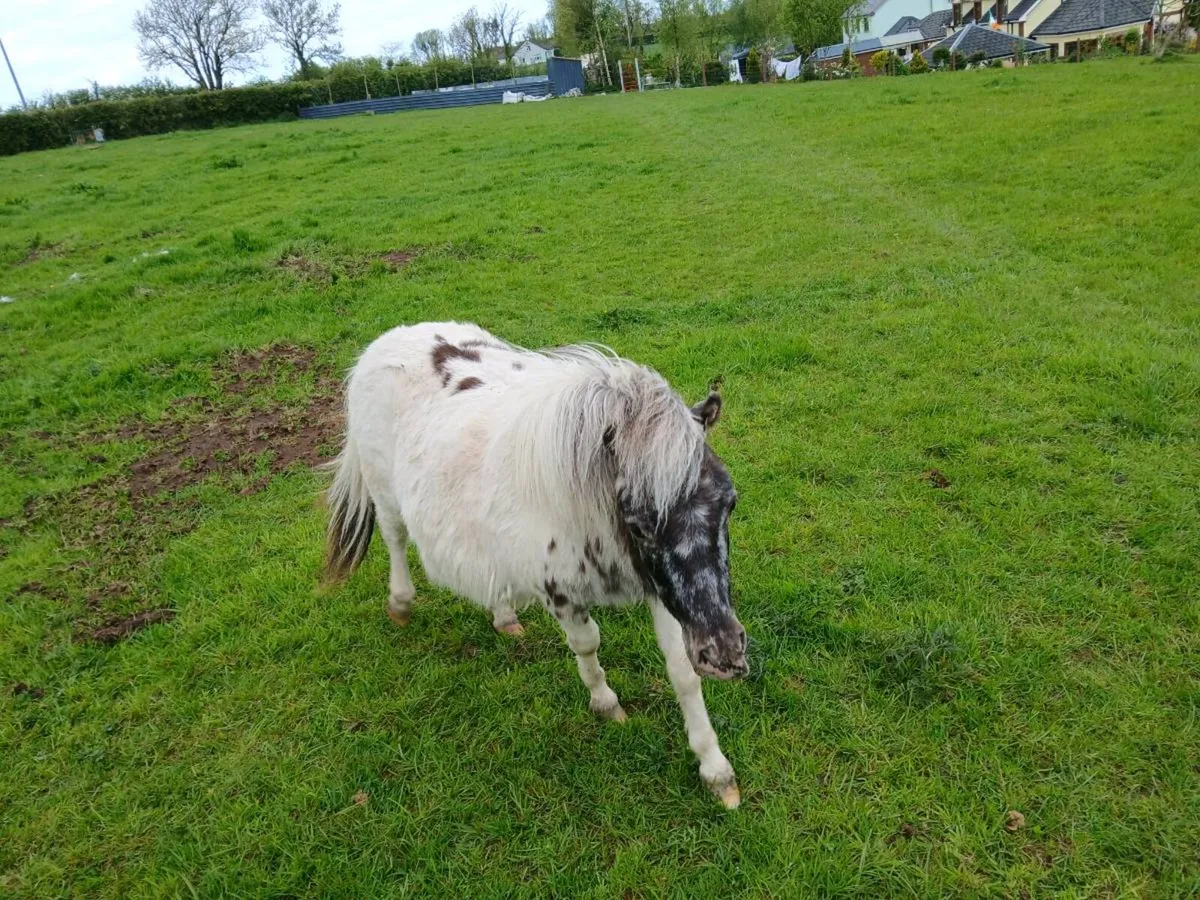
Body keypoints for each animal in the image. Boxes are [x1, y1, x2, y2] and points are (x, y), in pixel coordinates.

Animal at [323, 322, 748, 807]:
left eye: (729, 503)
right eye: (639, 525)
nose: (724, 654)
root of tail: (387, 340)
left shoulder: (662, 590)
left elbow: (682, 672)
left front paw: (716, 771)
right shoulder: (563, 592)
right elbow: (587, 644)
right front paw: (606, 704)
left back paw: (504, 616)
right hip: (383, 490)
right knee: (394, 538)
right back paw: (400, 604)